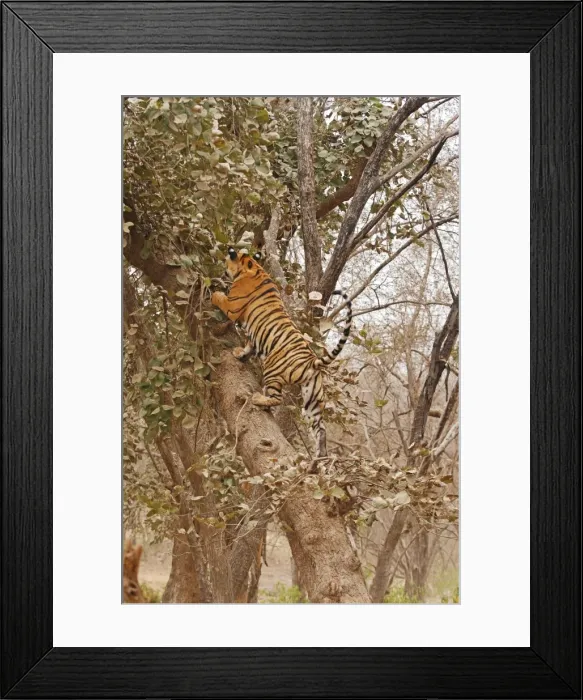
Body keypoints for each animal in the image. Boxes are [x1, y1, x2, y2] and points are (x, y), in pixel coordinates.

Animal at [211, 246, 352, 458]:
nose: (222, 271)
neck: (252, 266)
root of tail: (313, 361)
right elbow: (249, 345)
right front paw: (240, 353)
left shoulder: (233, 306)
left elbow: (221, 299)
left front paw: (213, 291)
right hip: (312, 399)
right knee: (320, 428)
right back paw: (320, 456)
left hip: (271, 370)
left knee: (277, 399)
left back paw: (259, 399)